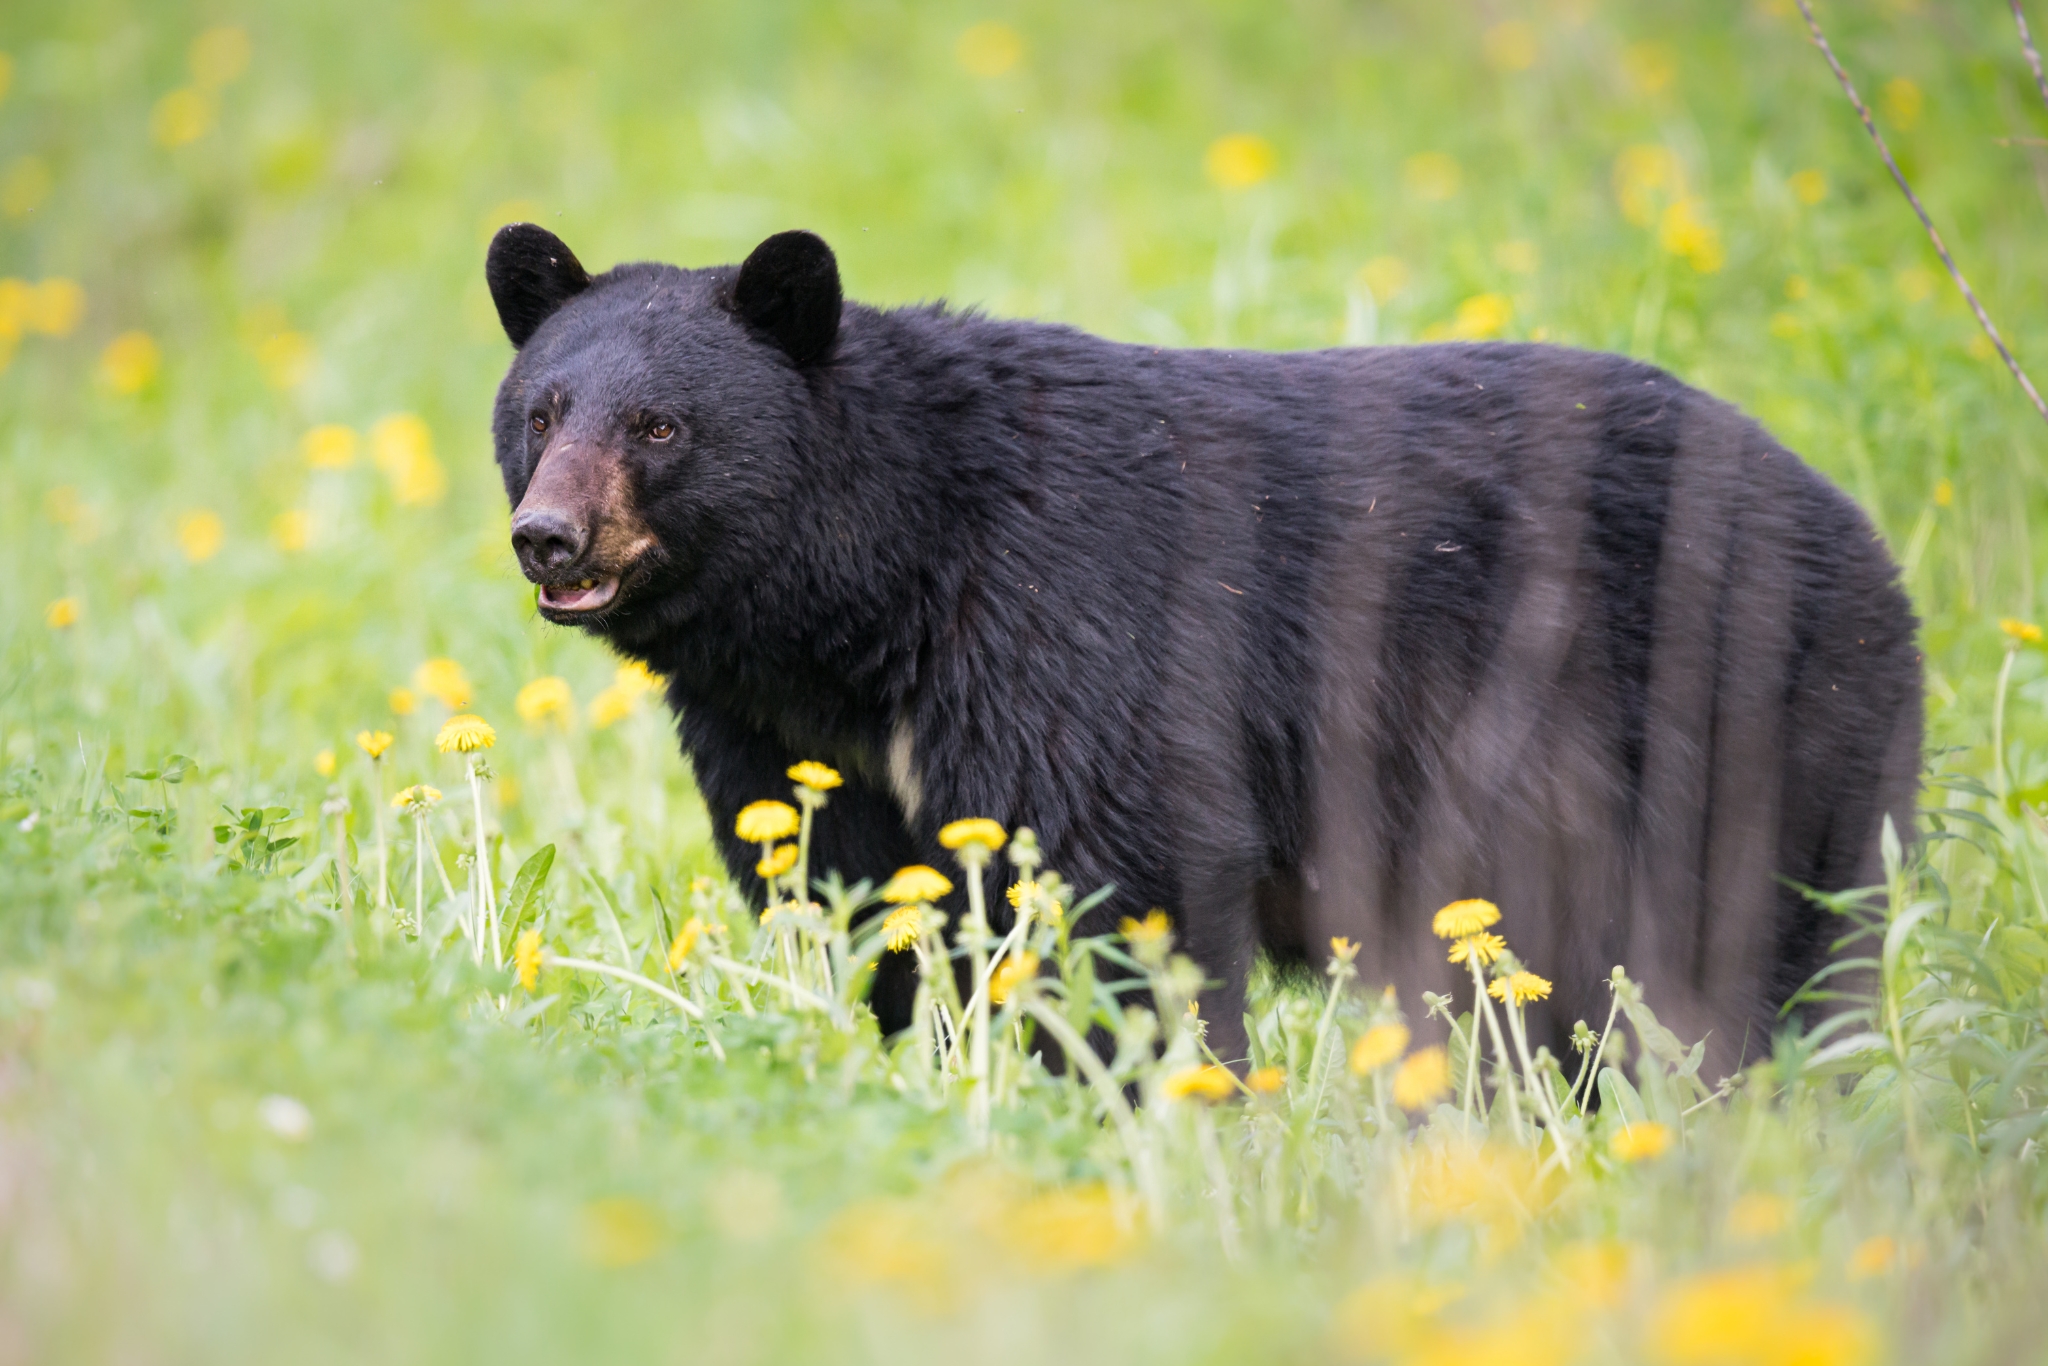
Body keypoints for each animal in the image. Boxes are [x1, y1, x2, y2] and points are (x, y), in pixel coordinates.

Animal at [484, 223, 1922, 1070]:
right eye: (542, 408)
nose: (548, 535)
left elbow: (1126, 866)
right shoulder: (788, 737)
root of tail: (1865, 534)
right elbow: (869, 895)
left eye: (660, 425)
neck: (870, 595)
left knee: (1753, 948)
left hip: (1746, 719)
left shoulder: (1065, 619)